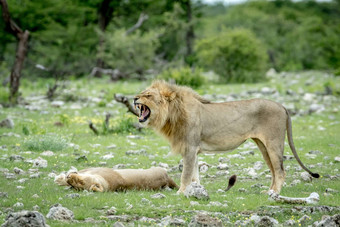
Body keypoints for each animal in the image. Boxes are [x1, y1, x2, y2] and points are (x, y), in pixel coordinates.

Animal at [135, 80, 318, 194]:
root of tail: (281, 105)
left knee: (280, 171)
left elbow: (186, 174)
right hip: (263, 146)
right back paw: (269, 190)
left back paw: (274, 193)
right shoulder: (193, 150)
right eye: (141, 93)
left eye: (148, 95)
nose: (135, 98)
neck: (172, 114)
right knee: (274, 170)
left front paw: (181, 192)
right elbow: (194, 174)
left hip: (274, 143)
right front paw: (194, 191)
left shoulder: (190, 147)